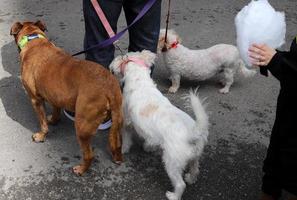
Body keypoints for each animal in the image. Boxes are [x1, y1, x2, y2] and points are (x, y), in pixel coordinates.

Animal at [9, 20, 122, 175]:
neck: (33, 38)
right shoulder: (55, 96)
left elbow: (43, 124)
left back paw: (81, 169)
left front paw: (41, 135)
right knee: (116, 143)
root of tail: (109, 86)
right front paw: (53, 120)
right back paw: (117, 157)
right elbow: (56, 111)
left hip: (82, 126)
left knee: (89, 155)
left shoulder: (36, 100)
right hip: (117, 122)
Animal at [108, 49, 208, 200]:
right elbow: (150, 142)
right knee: (195, 169)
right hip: (194, 157)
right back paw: (191, 178)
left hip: (172, 163)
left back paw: (173, 195)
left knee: (180, 184)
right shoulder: (150, 134)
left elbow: (126, 139)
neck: (140, 82)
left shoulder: (127, 123)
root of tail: (193, 132)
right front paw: (148, 148)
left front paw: (123, 149)